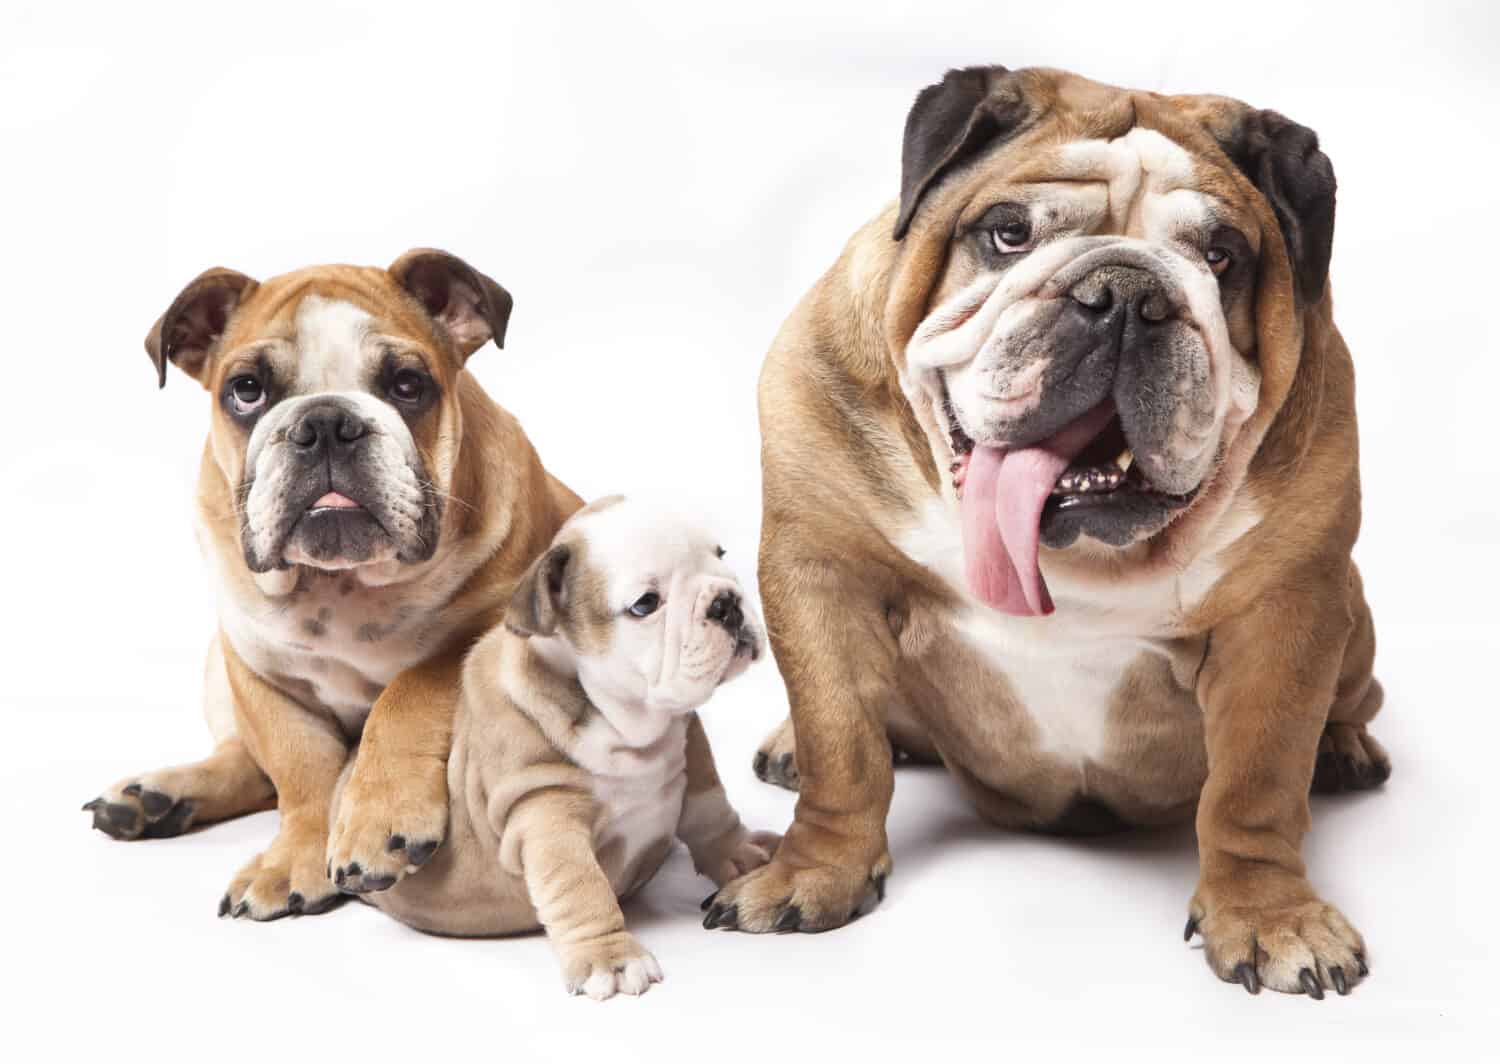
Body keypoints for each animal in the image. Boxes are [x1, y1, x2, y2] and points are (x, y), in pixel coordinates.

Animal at [83, 250, 579, 918]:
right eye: (246, 390)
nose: (323, 422)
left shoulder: (483, 633)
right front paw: (295, 857)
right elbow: (298, 765)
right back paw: (157, 796)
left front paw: (379, 819)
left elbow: (407, 692)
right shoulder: (257, 666)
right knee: (247, 761)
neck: (342, 585)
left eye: (407, 384)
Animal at [363, 498, 780, 996]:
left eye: (720, 555)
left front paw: (742, 854)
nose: (726, 602)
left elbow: (709, 810)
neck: (629, 723)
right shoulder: (545, 812)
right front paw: (611, 959)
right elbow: (579, 886)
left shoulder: (691, 749)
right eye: (646, 604)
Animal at [708, 66, 1386, 996]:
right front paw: (814, 872)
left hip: (1352, 614)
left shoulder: (1288, 612)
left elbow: (1258, 781)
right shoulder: (820, 568)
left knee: (1350, 702)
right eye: (1009, 231)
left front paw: (1270, 916)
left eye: (1221, 258)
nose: (1127, 294)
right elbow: (841, 743)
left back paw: (1346, 748)